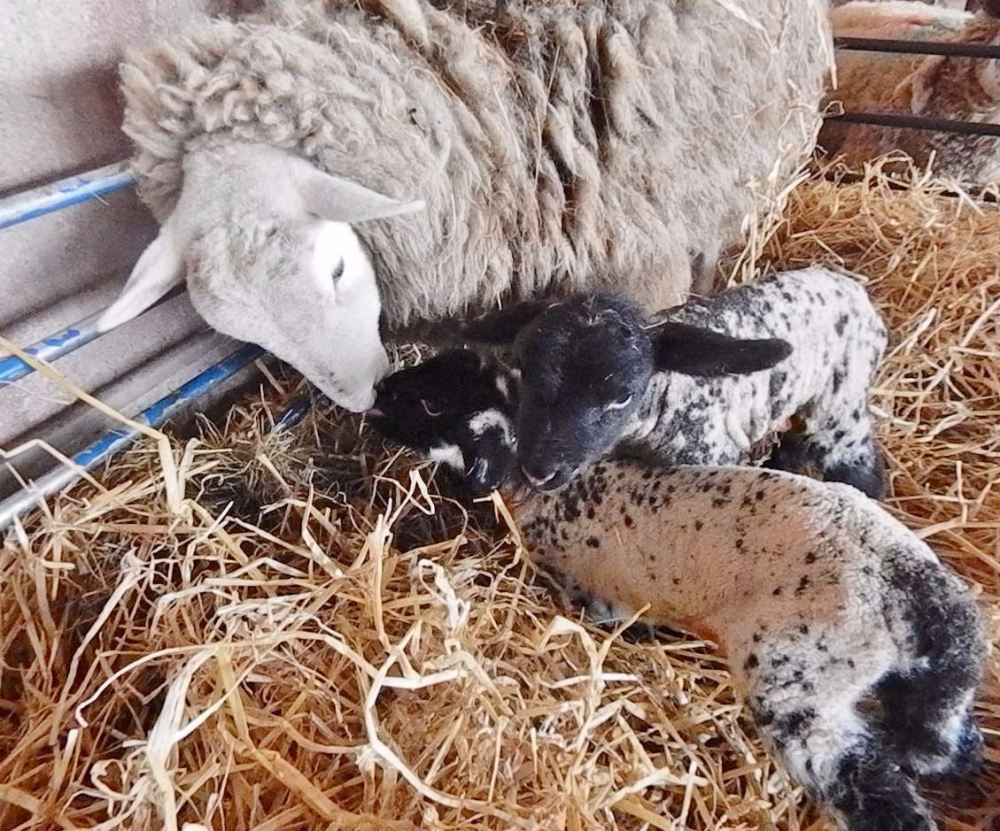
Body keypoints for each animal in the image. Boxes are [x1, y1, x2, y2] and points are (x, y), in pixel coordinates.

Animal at [366, 350, 984, 831]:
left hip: (797, 679)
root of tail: (914, 591)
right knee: (948, 738)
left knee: (874, 788)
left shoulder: (586, 591)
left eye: (431, 405)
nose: (375, 393)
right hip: (916, 686)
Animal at [460, 268, 892, 500]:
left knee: (857, 458)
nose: (539, 472)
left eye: (622, 396)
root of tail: (853, 288)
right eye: (523, 367)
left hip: (842, 400)